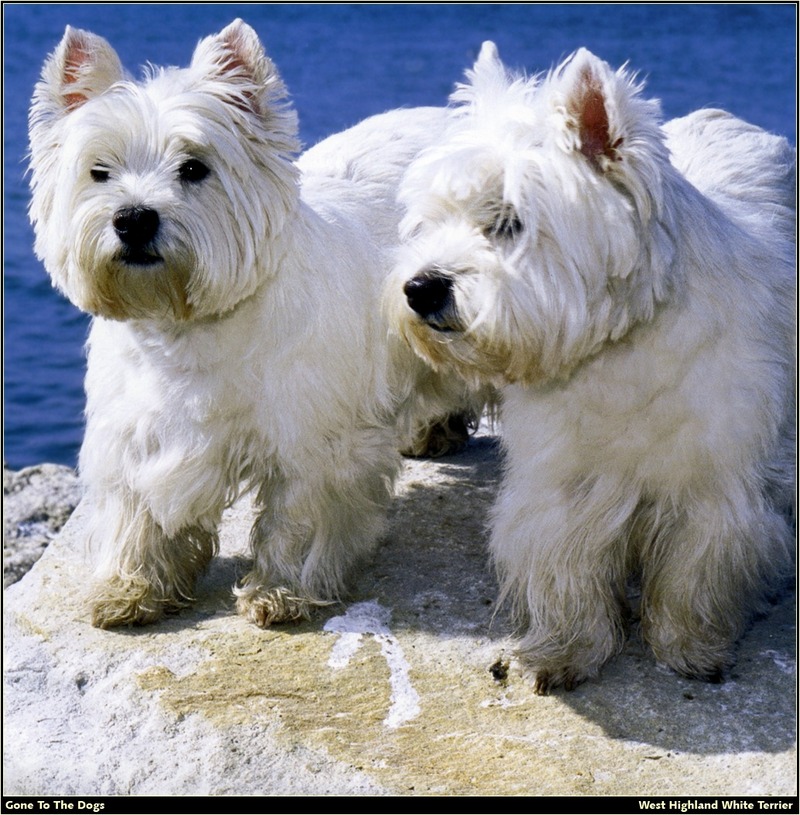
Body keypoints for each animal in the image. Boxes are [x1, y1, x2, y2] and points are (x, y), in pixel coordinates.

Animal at [28, 20, 472, 632]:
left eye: (194, 168)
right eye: (99, 171)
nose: (134, 218)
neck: (188, 327)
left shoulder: (312, 440)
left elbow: (296, 516)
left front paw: (279, 590)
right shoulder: (135, 437)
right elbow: (134, 513)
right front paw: (127, 587)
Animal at [392, 43, 792, 696]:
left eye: (508, 221)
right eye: (433, 218)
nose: (419, 289)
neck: (619, 343)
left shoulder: (712, 482)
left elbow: (695, 572)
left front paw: (689, 647)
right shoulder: (564, 478)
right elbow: (565, 565)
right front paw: (563, 652)